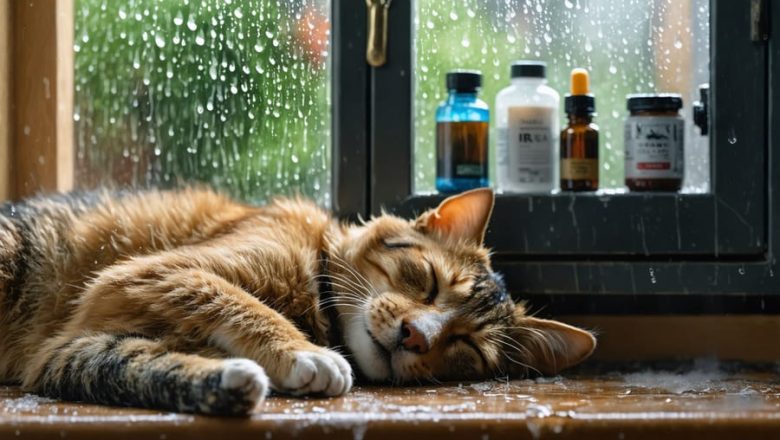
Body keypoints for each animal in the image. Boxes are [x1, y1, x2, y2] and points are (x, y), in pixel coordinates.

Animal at [1, 187, 596, 414]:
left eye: (467, 347)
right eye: (426, 281)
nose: (414, 336)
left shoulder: (68, 351)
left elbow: (144, 367)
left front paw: (230, 381)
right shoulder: (150, 271)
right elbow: (240, 301)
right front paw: (303, 353)